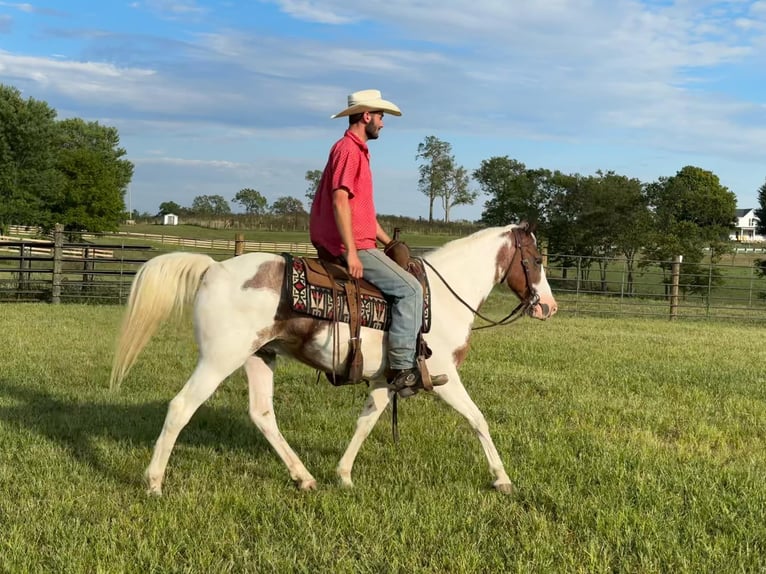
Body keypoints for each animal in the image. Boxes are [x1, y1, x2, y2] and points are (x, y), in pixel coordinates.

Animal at [110, 222, 558, 495]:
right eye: (536, 261)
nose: (548, 307)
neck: (442, 299)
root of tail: (213, 269)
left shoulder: (385, 379)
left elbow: (366, 421)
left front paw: (342, 474)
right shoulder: (442, 375)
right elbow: (478, 419)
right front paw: (502, 479)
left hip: (259, 356)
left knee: (262, 415)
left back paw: (304, 478)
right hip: (219, 360)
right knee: (181, 407)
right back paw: (154, 482)